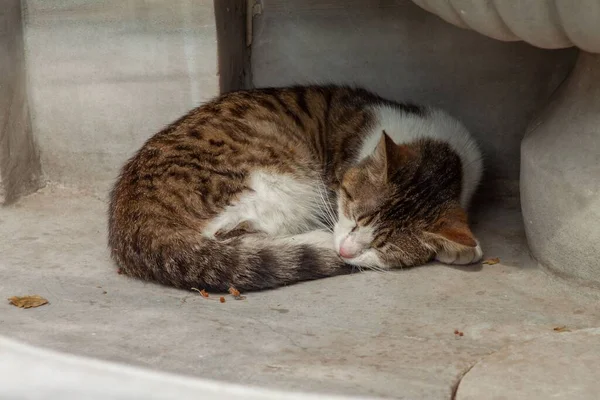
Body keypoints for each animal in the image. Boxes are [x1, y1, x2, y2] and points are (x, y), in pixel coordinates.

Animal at [108, 85, 482, 290]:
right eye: (352, 213)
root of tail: (131, 215)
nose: (346, 251)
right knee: (231, 235)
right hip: (283, 181)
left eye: (385, 247)